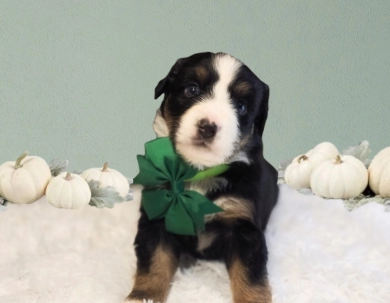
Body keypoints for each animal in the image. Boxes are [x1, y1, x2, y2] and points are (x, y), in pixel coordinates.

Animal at [125, 52, 278, 303]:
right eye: (192, 90)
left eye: (241, 106)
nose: (208, 126)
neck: (198, 171)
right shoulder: (157, 215)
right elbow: (154, 262)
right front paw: (142, 296)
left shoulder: (244, 227)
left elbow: (251, 276)